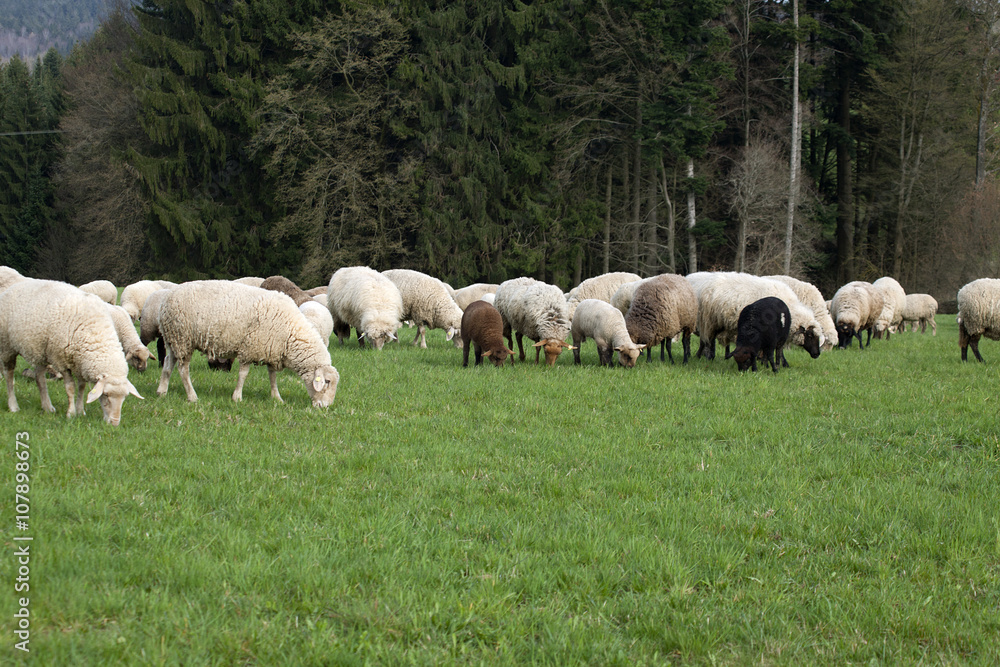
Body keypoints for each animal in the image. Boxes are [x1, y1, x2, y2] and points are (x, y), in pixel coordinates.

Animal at [0, 280, 143, 426]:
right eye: (106, 395)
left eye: (124, 397)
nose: (114, 423)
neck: (94, 334)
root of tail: (14, 287)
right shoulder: (61, 361)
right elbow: (70, 388)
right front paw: (71, 413)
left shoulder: (80, 363)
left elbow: (82, 387)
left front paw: (80, 411)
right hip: (7, 346)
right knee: (9, 376)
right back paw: (13, 406)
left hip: (41, 350)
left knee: (39, 377)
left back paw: (47, 407)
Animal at [155, 280, 340, 404]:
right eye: (327, 382)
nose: (325, 407)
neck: (290, 334)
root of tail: (165, 301)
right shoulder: (249, 348)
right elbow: (243, 374)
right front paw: (237, 397)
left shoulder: (271, 349)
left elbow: (272, 376)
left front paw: (276, 397)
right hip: (183, 338)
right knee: (183, 369)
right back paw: (192, 396)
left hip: (173, 339)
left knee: (168, 363)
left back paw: (162, 391)